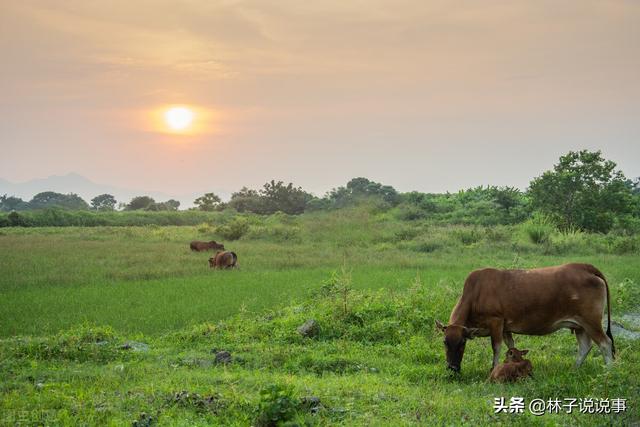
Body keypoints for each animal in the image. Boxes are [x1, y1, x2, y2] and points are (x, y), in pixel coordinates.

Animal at [436, 262, 616, 372]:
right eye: (444, 342)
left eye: (462, 343)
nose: (452, 368)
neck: (475, 294)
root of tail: (585, 267)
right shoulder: (505, 328)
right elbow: (510, 346)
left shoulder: (496, 322)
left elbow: (496, 347)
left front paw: (494, 369)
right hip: (579, 325)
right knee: (585, 346)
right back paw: (574, 369)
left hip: (591, 321)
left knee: (605, 343)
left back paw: (609, 371)